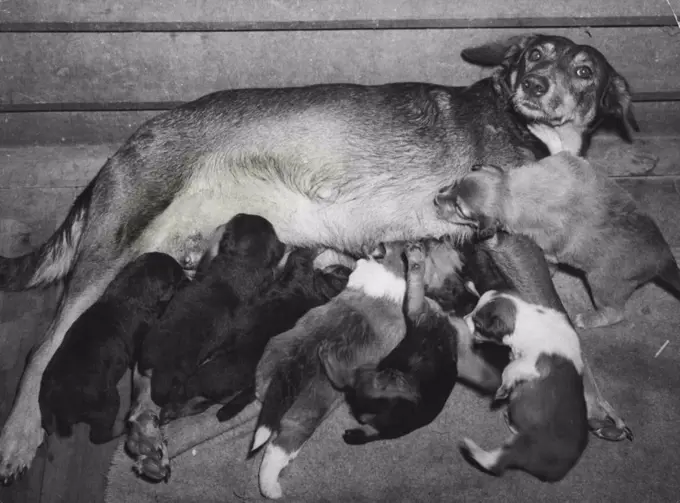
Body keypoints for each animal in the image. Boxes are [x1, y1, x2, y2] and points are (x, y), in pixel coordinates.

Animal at [38, 256, 185, 444]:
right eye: (178, 278)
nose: (189, 279)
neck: (130, 290)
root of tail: (55, 396)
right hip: (108, 403)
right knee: (98, 436)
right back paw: (121, 431)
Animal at [462, 292, 588, 484]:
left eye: (478, 325)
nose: (463, 319)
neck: (528, 319)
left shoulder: (530, 364)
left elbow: (510, 369)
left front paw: (503, 389)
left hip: (520, 445)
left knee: (495, 463)